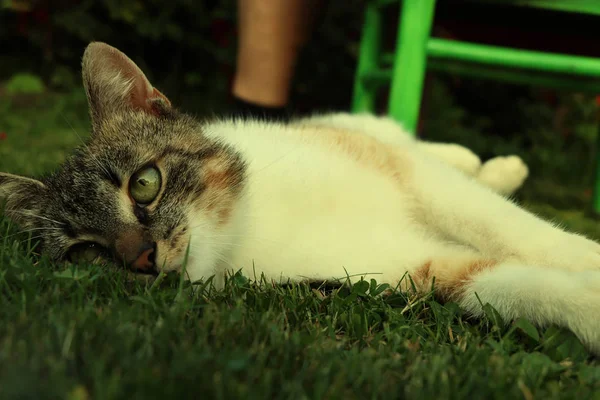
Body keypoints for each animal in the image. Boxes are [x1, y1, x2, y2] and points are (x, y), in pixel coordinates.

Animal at [1, 42, 600, 356]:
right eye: (86, 252)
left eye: (144, 183)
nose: (142, 259)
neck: (249, 224)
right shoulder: (407, 270)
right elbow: (504, 284)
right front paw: (588, 298)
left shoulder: (405, 174)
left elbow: (504, 224)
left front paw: (584, 254)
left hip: (362, 133)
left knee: (413, 145)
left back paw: (494, 164)